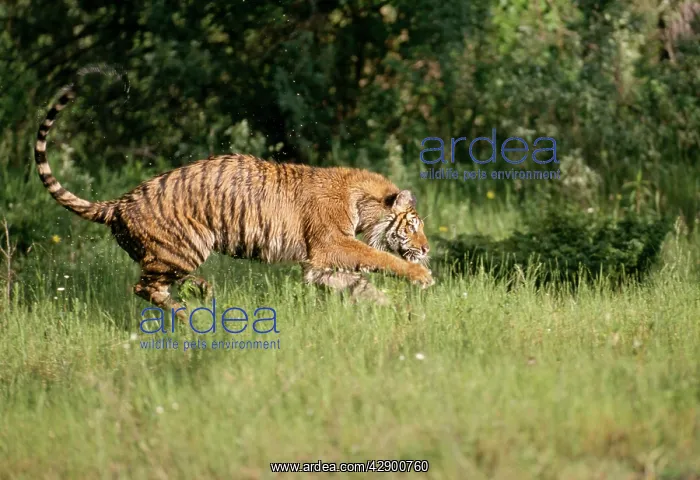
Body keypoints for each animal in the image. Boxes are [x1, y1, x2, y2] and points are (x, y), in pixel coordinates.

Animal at [34, 77, 434, 320]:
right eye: (412, 227)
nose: (427, 248)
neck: (362, 205)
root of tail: (118, 203)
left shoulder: (316, 265)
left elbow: (359, 285)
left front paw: (396, 309)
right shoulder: (332, 244)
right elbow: (379, 258)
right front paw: (421, 277)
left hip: (173, 254)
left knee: (156, 283)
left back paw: (199, 295)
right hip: (186, 245)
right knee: (144, 286)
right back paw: (190, 313)